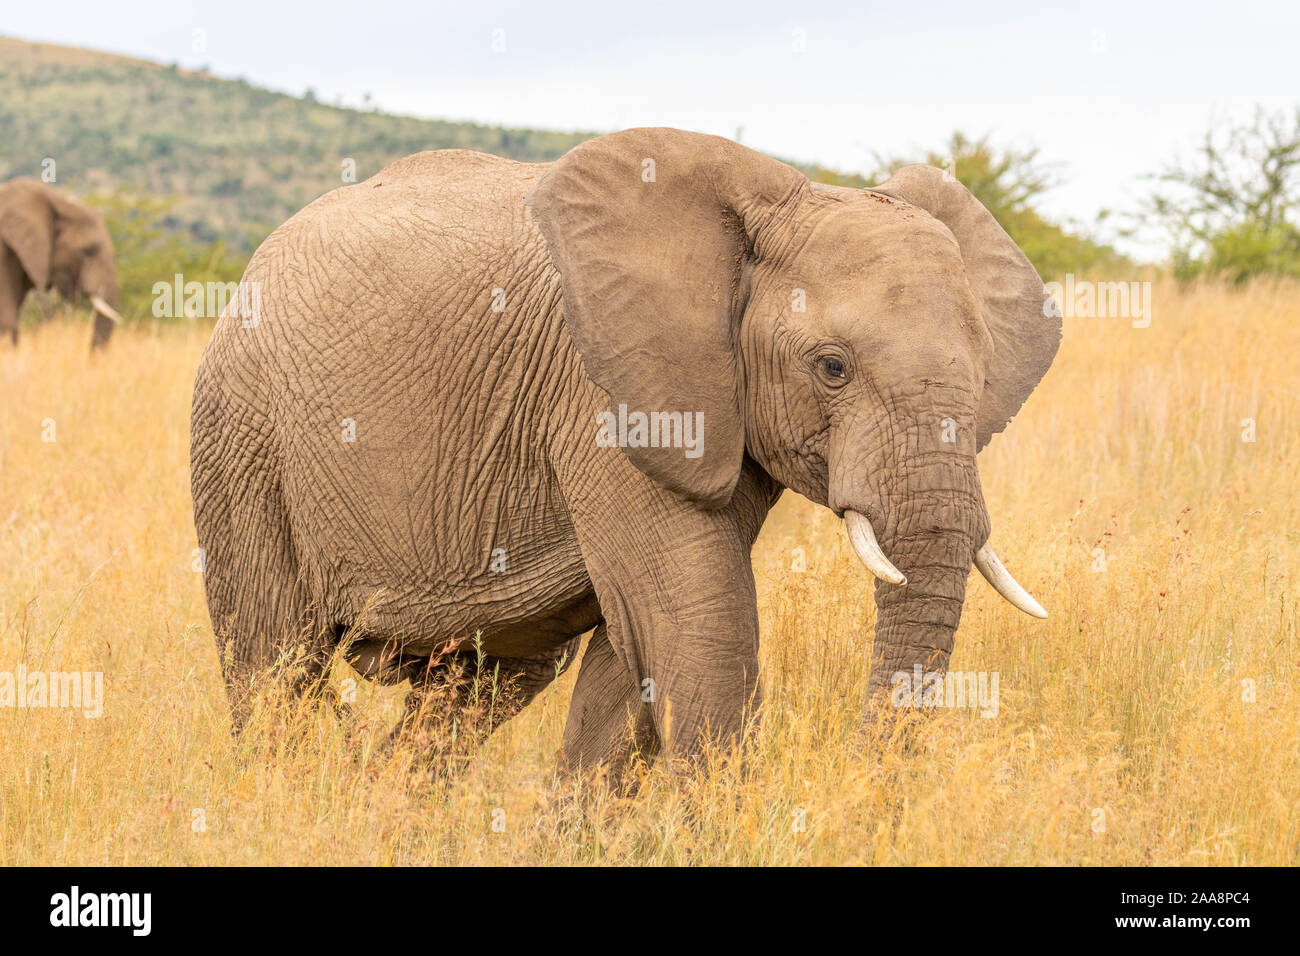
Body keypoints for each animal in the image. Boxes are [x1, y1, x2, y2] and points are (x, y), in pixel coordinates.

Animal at [195, 128, 1066, 780]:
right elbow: (699, 623)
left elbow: (636, 656)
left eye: (984, 373)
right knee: (273, 664)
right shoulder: (601, 394)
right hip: (241, 433)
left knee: (486, 683)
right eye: (832, 368)